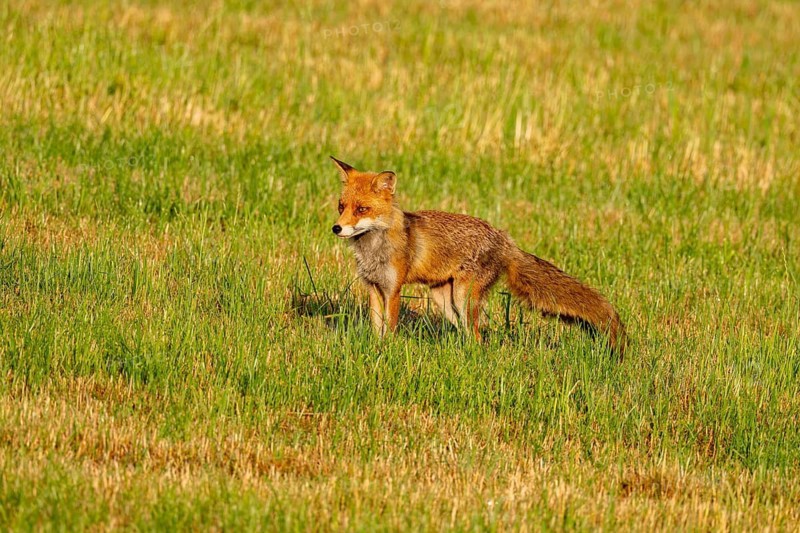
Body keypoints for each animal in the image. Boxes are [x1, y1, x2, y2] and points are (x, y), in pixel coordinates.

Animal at [330, 156, 626, 353]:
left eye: (362, 209)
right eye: (341, 206)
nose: (336, 228)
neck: (373, 248)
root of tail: (504, 237)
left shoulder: (393, 289)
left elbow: (389, 329)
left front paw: (386, 352)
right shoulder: (373, 287)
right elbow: (376, 327)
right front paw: (375, 349)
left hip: (463, 298)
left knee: (478, 337)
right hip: (446, 302)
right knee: (468, 334)